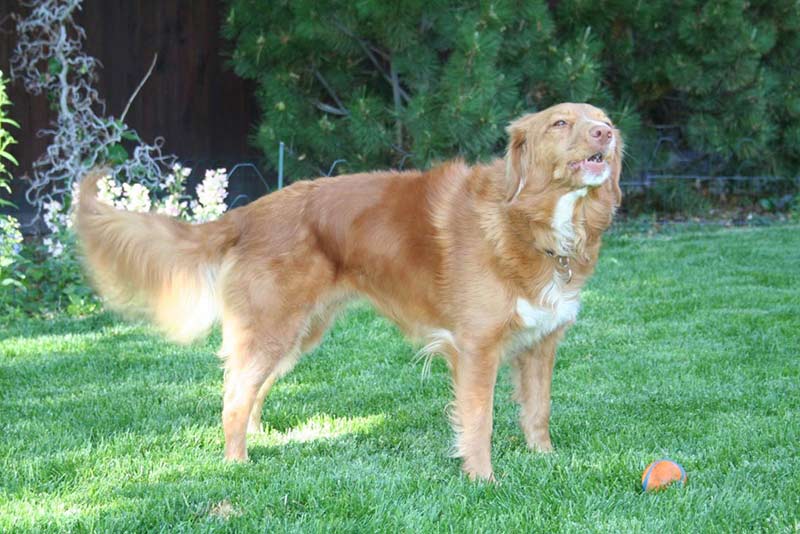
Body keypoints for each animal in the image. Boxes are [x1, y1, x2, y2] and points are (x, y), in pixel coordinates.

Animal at [75, 101, 620, 482]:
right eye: (560, 123)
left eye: (603, 120)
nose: (607, 134)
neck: (531, 222)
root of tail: (249, 212)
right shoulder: (476, 348)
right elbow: (478, 421)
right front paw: (483, 480)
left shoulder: (541, 344)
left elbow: (538, 410)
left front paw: (546, 460)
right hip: (273, 328)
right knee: (234, 395)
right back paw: (236, 463)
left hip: (295, 333)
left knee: (249, 389)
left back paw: (254, 441)